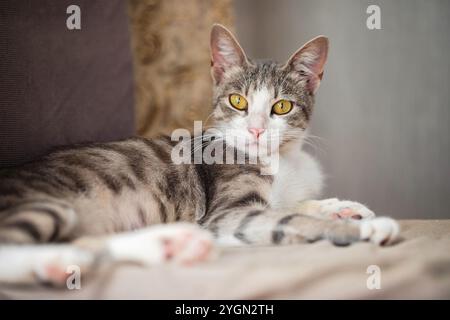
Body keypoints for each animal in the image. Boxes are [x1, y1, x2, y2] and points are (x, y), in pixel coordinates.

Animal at [0, 25, 398, 284]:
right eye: (238, 101)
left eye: (282, 106)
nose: (256, 129)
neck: (284, 160)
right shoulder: (226, 215)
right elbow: (287, 218)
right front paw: (359, 227)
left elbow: (291, 206)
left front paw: (345, 207)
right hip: (50, 204)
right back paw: (58, 261)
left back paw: (170, 245)